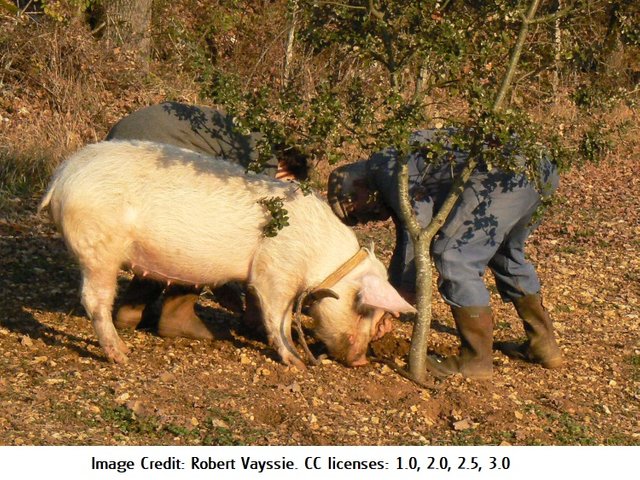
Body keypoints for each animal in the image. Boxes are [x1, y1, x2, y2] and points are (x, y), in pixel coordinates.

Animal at [38, 141, 416, 370]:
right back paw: (123, 356)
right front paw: (295, 362)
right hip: (98, 246)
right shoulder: (275, 271)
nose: (361, 360)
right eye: (362, 307)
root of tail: (62, 175)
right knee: (94, 299)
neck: (321, 259)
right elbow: (278, 316)